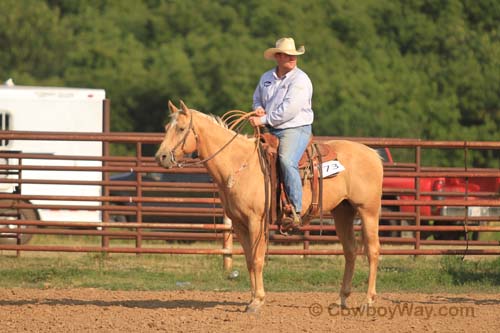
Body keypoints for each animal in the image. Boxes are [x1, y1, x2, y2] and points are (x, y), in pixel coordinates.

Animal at [156, 100, 382, 312]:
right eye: (166, 126)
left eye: (181, 128)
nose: (161, 157)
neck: (239, 164)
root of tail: (373, 154)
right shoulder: (239, 223)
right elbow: (249, 260)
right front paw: (251, 299)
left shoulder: (257, 220)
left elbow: (257, 259)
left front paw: (257, 301)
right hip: (343, 211)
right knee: (350, 251)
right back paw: (341, 300)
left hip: (368, 210)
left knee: (372, 250)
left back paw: (368, 301)